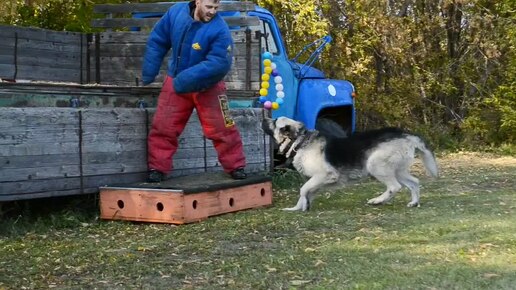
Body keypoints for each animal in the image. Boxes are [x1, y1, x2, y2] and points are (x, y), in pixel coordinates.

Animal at [262, 116, 440, 212]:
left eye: (274, 121)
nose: (264, 118)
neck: (301, 141)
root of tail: (407, 134)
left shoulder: (324, 175)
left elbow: (303, 190)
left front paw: (303, 207)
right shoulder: (317, 181)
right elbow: (305, 193)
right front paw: (298, 208)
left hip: (375, 165)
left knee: (394, 187)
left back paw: (378, 200)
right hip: (398, 170)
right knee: (414, 182)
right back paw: (414, 202)